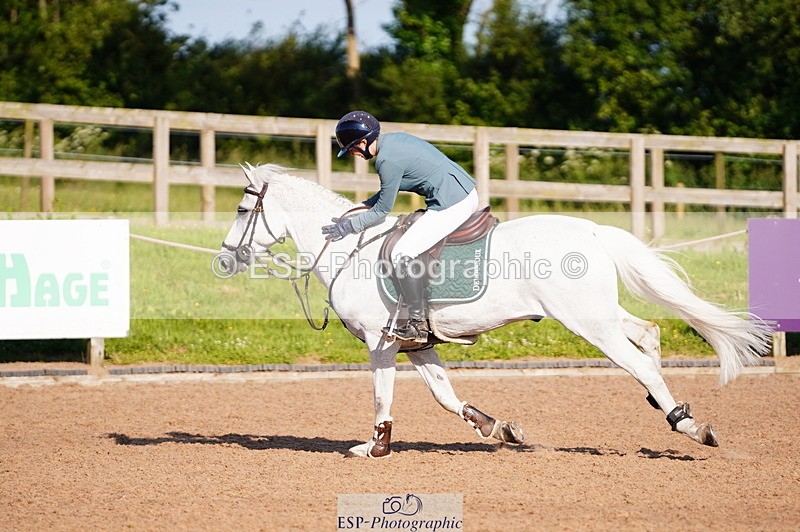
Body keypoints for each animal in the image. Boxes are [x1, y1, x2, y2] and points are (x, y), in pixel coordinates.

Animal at [218, 163, 772, 458]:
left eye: (244, 210)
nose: (224, 259)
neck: (348, 251)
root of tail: (592, 229)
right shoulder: (415, 344)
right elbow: (445, 396)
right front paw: (497, 428)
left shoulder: (381, 342)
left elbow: (381, 397)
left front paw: (374, 448)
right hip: (599, 314)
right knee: (649, 334)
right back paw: (669, 408)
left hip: (587, 323)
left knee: (638, 362)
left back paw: (688, 425)